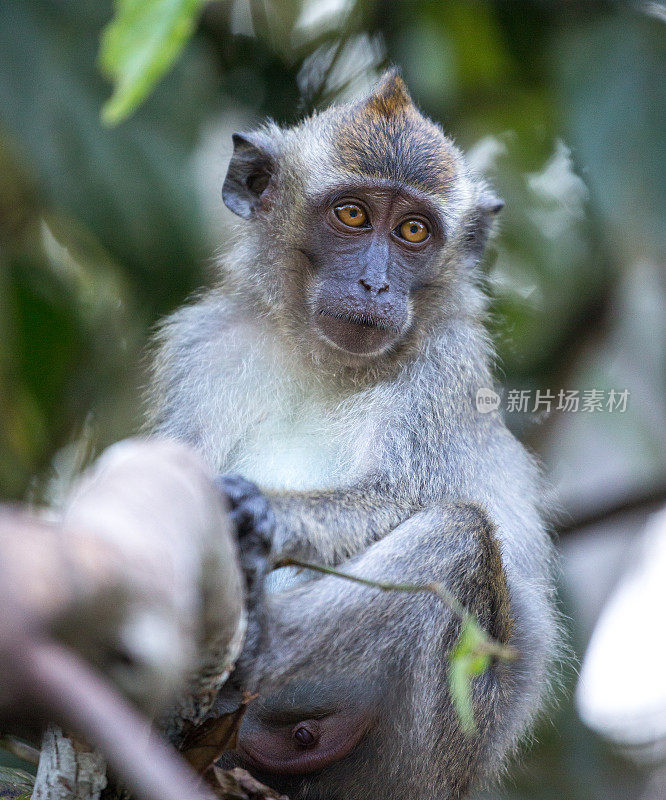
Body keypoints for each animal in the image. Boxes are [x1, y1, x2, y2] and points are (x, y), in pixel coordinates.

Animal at [149, 70, 556, 800]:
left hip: (427, 750)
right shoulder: (202, 345)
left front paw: (256, 510)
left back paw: (258, 650)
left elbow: (397, 497)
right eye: (353, 216)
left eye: (414, 230)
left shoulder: (444, 369)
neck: (323, 357)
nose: (374, 283)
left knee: (458, 539)